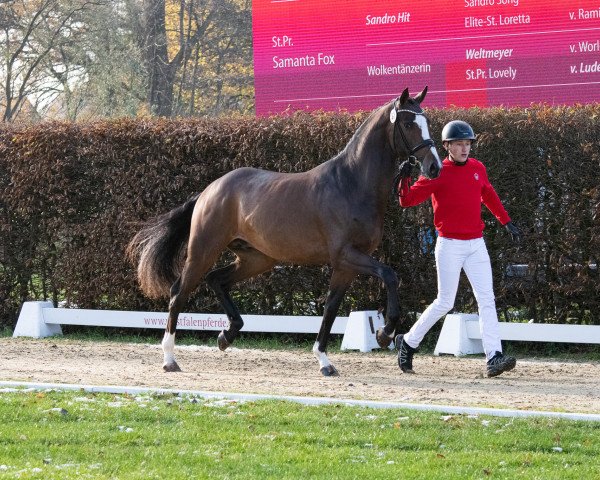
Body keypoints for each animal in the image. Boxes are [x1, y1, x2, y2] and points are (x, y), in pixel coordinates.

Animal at [126, 86, 440, 376]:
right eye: (409, 124)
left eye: (425, 121)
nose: (434, 167)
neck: (350, 184)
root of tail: (209, 190)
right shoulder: (347, 256)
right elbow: (389, 275)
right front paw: (385, 333)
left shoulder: (346, 266)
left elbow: (330, 308)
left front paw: (326, 361)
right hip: (204, 251)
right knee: (178, 293)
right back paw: (170, 359)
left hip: (257, 258)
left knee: (217, 280)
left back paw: (227, 335)